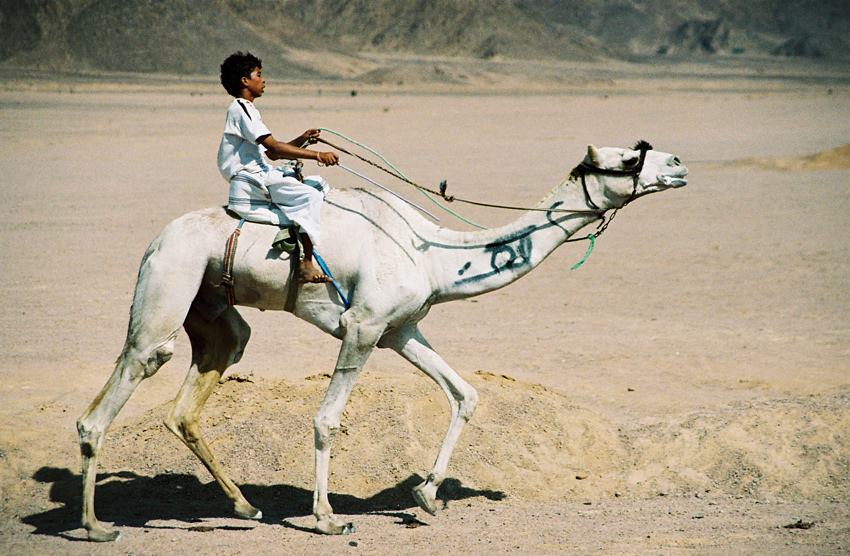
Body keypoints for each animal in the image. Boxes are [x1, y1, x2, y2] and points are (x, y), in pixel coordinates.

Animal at [77, 142, 688, 541]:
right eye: (629, 159)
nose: (679, 165)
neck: (433, 255)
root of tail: (156, 240)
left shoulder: (402, 329)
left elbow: (465, 393)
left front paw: (427, 495)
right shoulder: (364, 326)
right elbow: (327, 419)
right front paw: (327, 517)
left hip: (211, 307)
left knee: (196, 390)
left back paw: (244, 507)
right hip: (168, 283)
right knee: (122, 383)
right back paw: (94, 525)